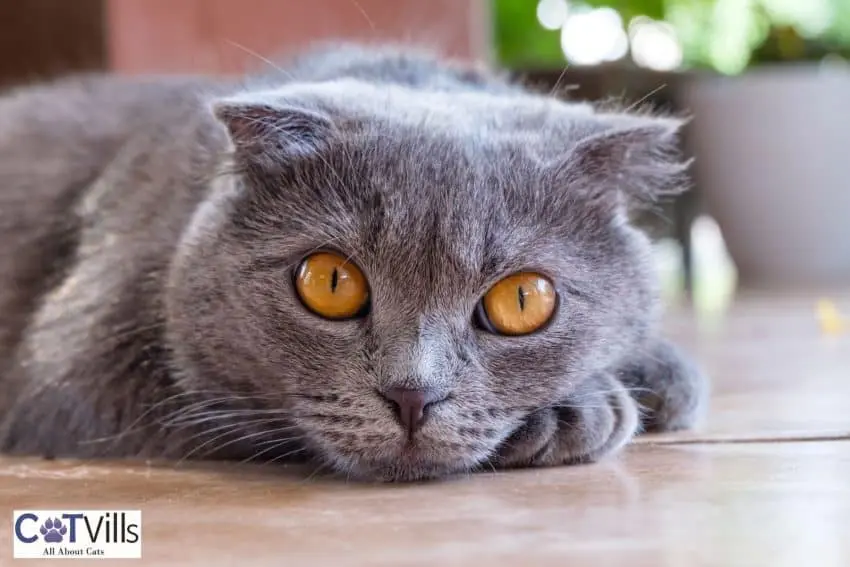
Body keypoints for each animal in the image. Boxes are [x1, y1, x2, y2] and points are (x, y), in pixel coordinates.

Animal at [0, 43, 704, 484]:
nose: (413, 395)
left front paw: (656, 373)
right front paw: (581, 411)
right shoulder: (81, 374)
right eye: (331, 283)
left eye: (523, 300)